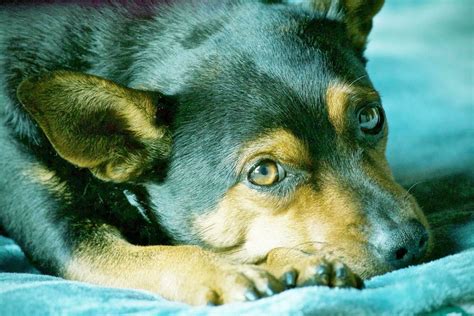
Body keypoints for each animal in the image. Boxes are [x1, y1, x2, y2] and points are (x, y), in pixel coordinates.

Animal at [0, 0, 434, 306]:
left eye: (370, 118)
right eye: (264, 172)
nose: (411, 242)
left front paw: (294, 262)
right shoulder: (62, 234)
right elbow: (160, 255)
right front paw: (225, 273)